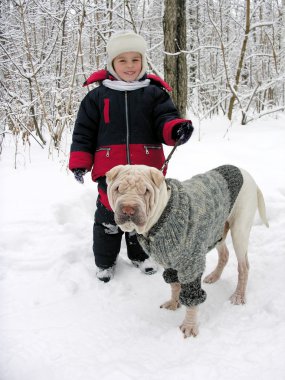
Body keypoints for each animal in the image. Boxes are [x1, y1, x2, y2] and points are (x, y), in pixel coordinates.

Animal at [105, 165, 268, 336]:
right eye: (118, 189)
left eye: (146, 191)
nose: (128, 209)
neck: (161, 216)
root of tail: (245, 173)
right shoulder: (168, 260)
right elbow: (174, 284)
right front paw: (174, 302)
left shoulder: (191, 264)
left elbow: (191, 296)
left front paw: (189, 325)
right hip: (216, 229)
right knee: (225, 254)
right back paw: (214, 276)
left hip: (239, 232)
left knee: (244, 266)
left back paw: (238, 295)